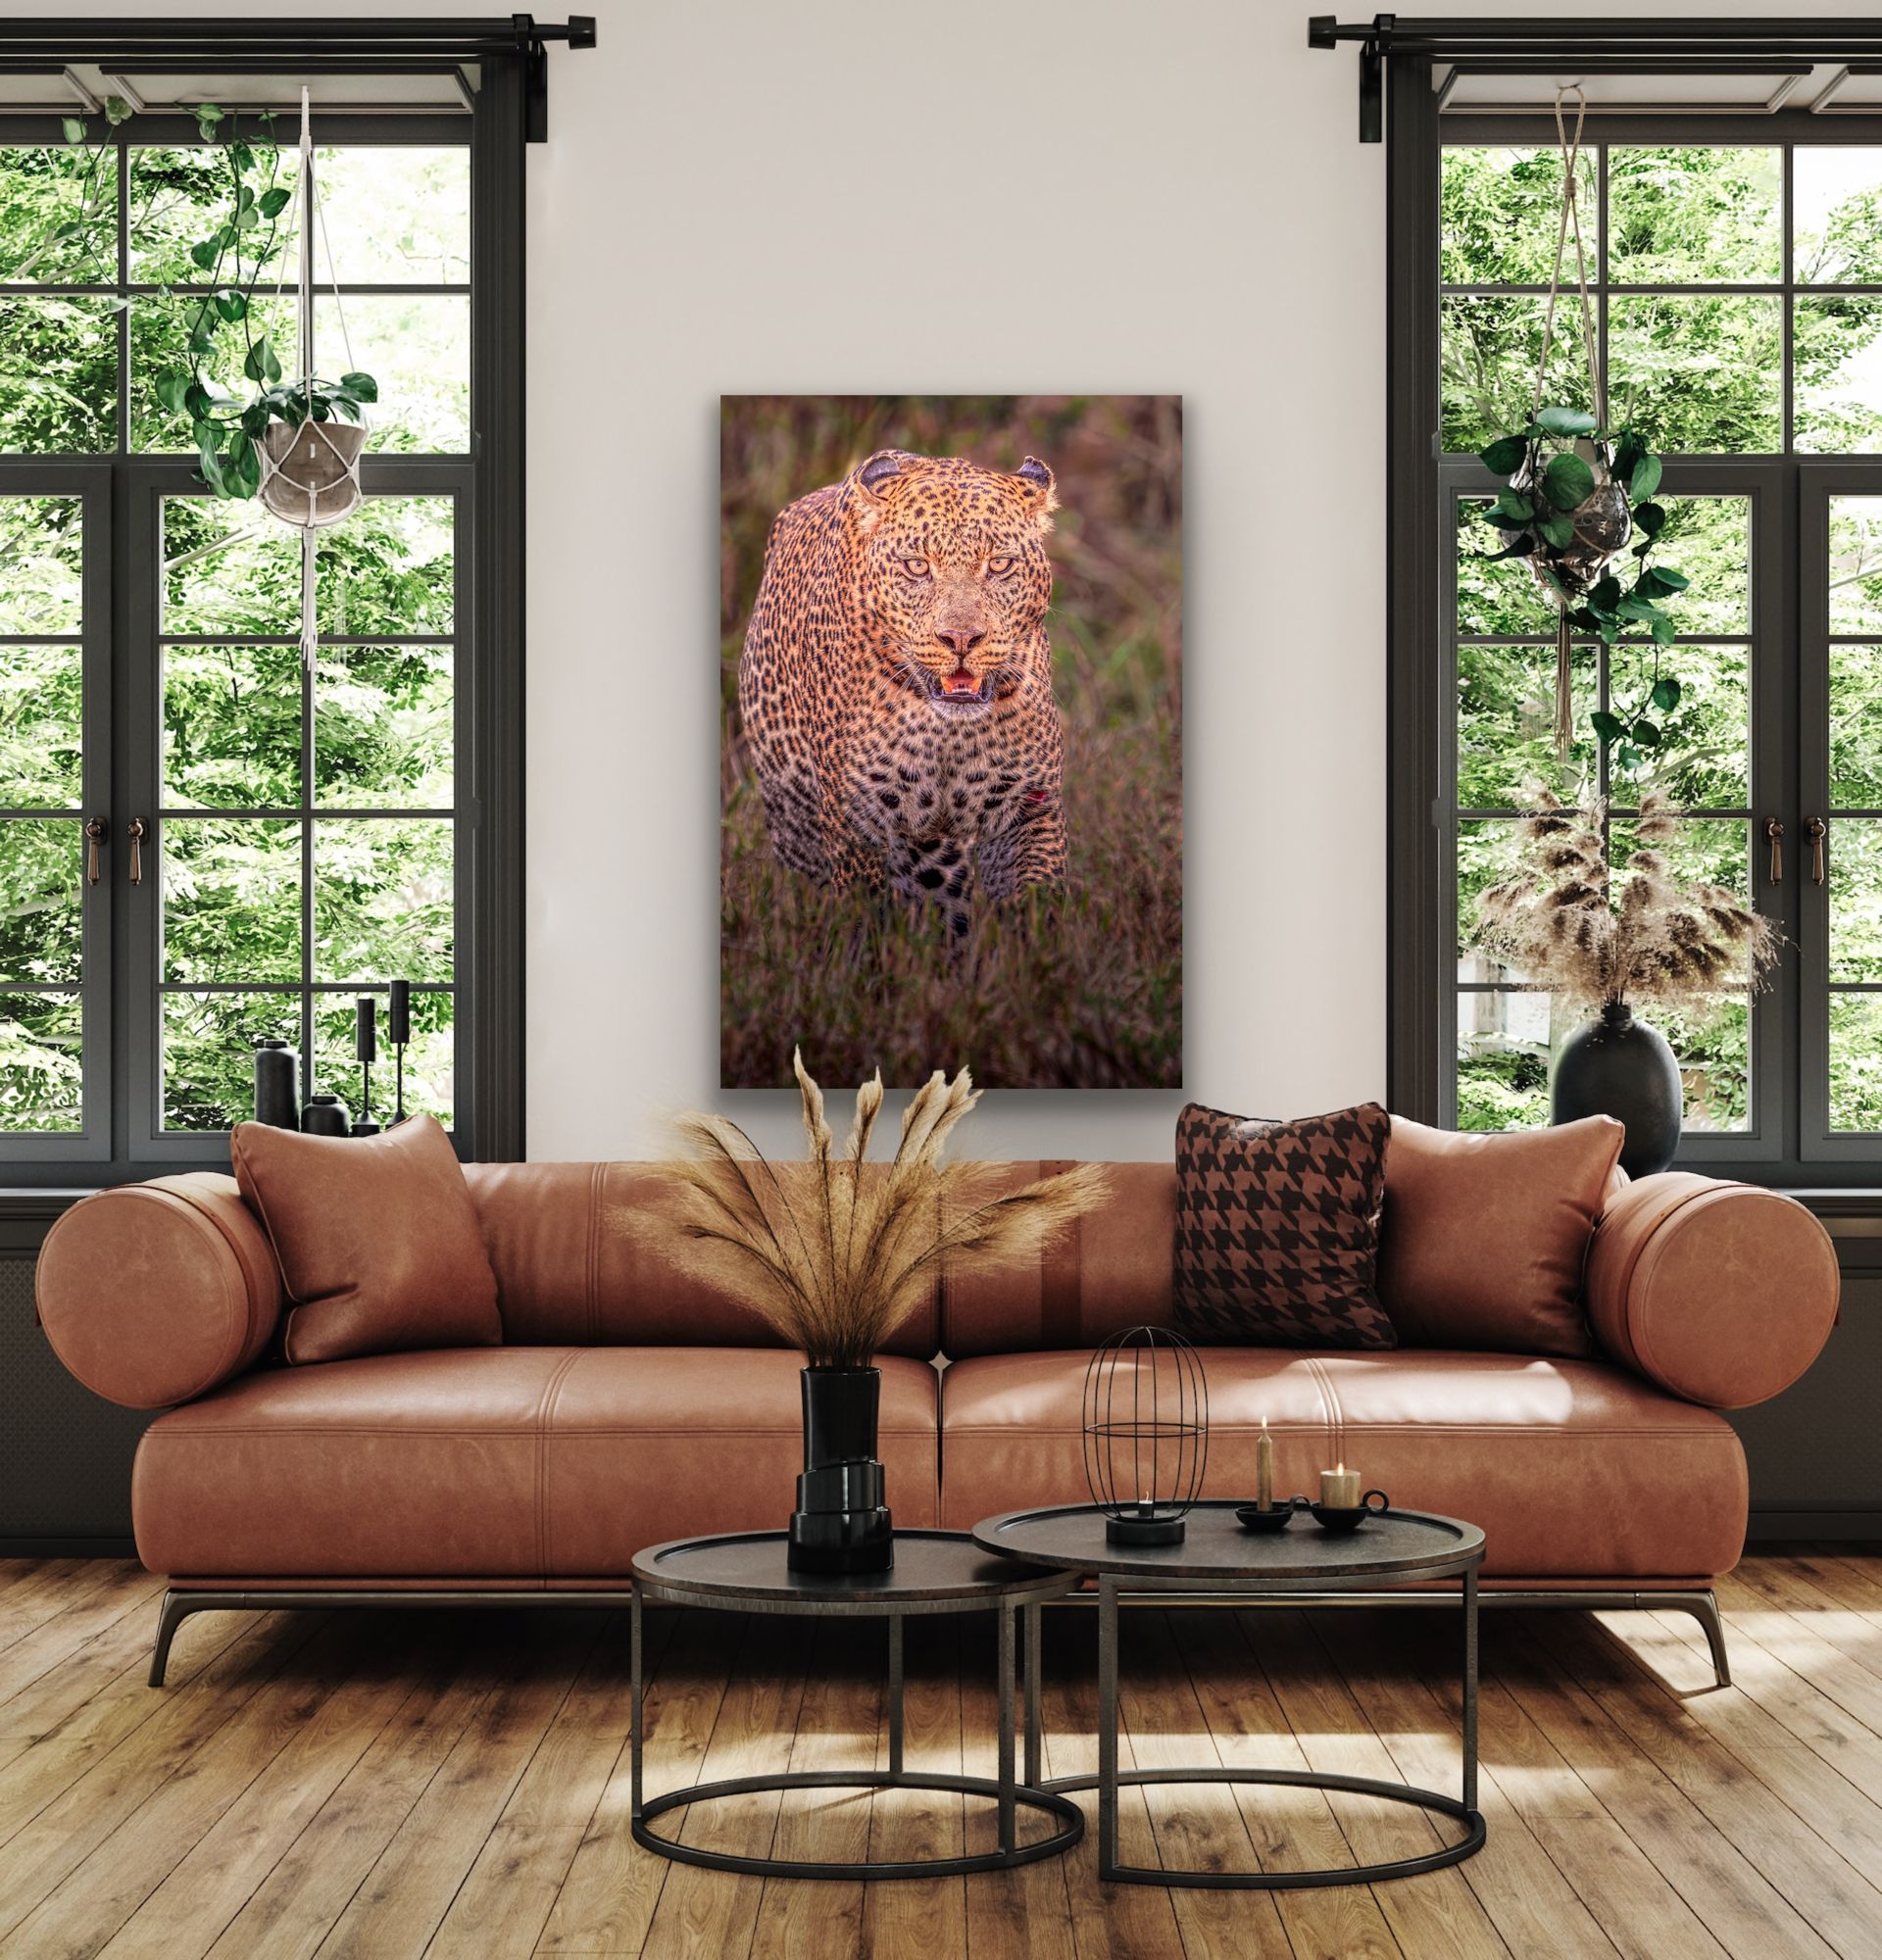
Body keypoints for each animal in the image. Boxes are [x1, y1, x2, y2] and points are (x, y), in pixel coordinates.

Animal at [736, 446, 1067, 940]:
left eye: (999, 564)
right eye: (917, 566)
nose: (961, 638)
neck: (948, 731)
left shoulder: (1029, 806)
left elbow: (1039, 907)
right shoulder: (857, 823)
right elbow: (863, 921)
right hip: (796, 827)